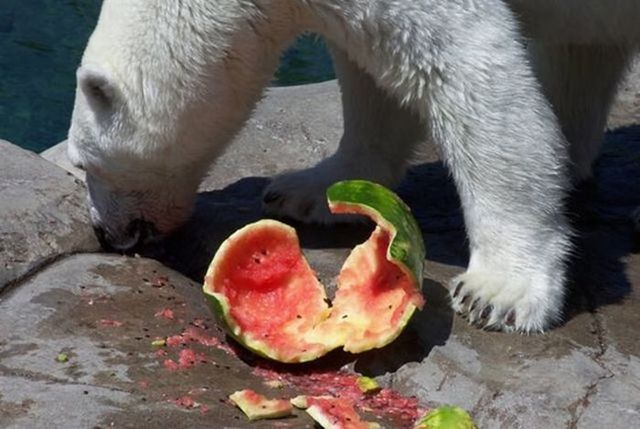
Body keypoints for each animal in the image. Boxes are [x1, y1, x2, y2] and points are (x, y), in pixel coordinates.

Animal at [66, 0, 640, 333]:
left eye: (83, 163)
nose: (105, 233)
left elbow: (467, 73)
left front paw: (499, 292)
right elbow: (377, 73)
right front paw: (309, 189)